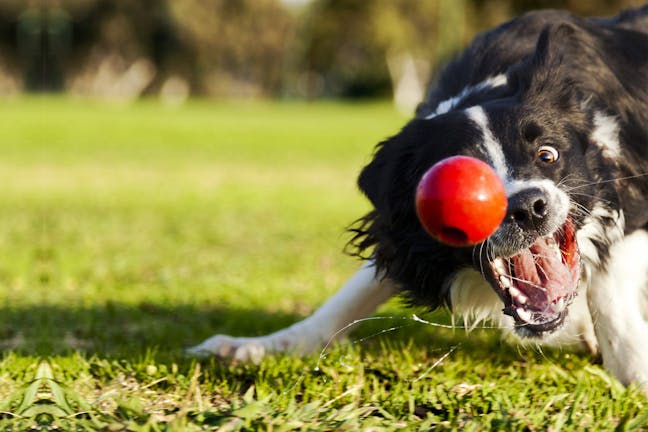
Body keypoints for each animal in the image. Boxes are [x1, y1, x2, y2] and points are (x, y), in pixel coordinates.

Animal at [187, 5, 648, 392]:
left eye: (547, 155)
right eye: (458, 186)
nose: (528, 207)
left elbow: (606, 284)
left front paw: (633, 368)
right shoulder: (400, 225)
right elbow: (356, 290)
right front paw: (260, 345)